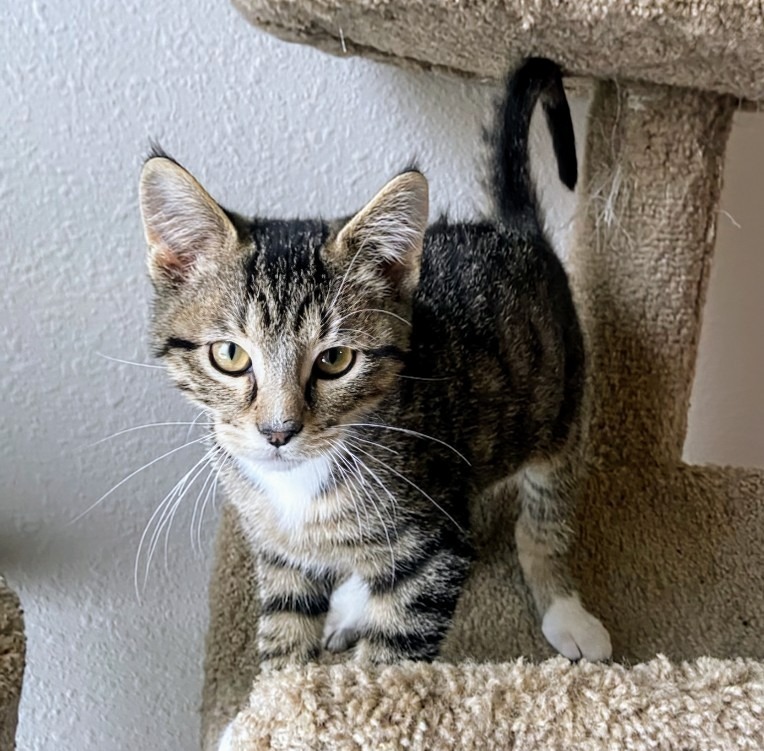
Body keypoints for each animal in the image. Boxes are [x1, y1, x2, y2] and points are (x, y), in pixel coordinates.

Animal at [140, 58, 612, 680]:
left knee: (544, 516)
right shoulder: (281, 552)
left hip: (563, 405)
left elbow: (389, 663)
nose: (278, 431)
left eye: (335, 360)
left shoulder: (436, 539)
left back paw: (564, 608)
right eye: (230, 355)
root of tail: (514, 229)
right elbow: (285, 639)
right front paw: (282, 698)